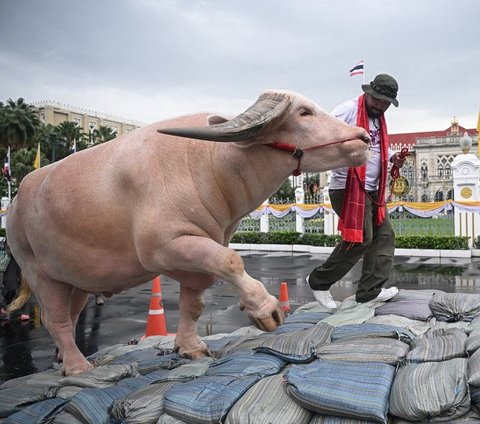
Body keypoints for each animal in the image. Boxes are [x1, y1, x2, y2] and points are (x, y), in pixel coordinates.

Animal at [5, 90, 370, 374]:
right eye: (304, 112)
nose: (364, 138)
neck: (213, 167)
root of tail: (17, 202)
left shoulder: (200, 252)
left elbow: (194, 304)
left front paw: (190, 347)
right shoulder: (164, 246)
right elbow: (231, 261)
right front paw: (266, 310)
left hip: (76, 279)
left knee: (71, 314)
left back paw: (65, 360)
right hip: (39, 272)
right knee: (54, 319)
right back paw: (78, 367)